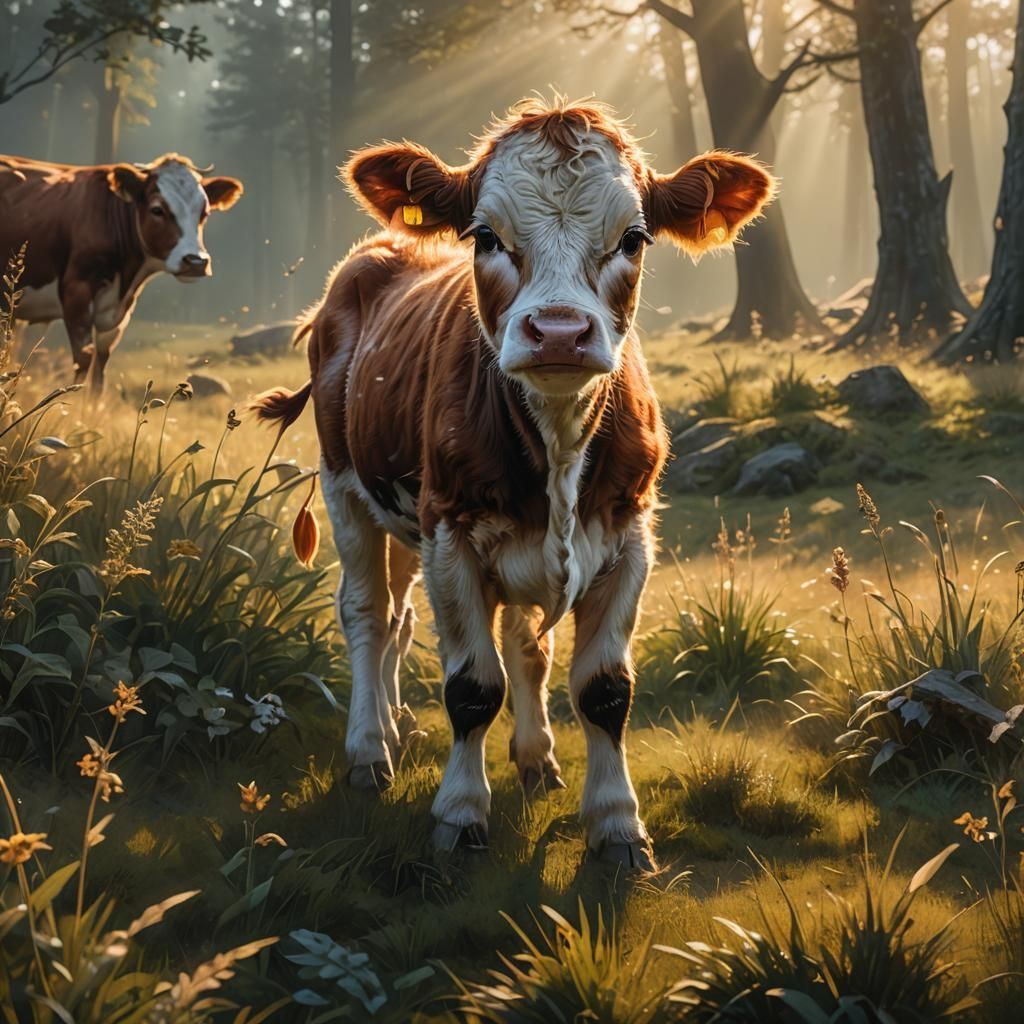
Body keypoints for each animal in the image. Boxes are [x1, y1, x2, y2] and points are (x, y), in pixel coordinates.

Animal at [0, 153, 243, 391]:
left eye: (205, 212)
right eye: (157, 210)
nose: (195, 261)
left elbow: (99, 371)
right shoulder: (76, 292)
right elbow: (83, 362)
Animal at [253, 99, 774, 869]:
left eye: (635, 237)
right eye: (485, 235)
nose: (557, 331)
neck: (556, 445)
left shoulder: (627, 537)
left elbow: (596, 685)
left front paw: (614, 822)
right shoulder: (452, 532)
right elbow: (472, 686)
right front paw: (460, 813)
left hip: (408, 517)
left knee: (432, 624)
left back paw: (457, 738)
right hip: (347, 489)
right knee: (368, 613)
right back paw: (370, 748)